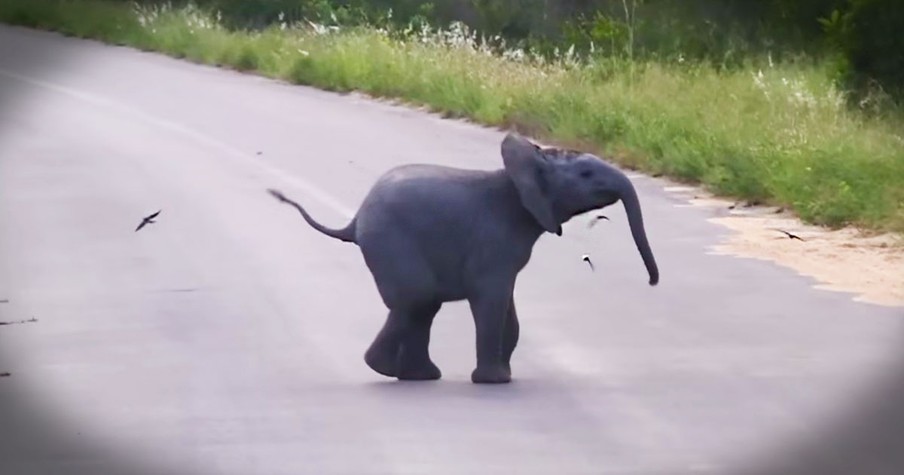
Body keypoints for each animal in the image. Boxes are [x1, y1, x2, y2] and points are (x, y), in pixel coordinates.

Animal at [268, 132, 656, 384]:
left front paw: (503, 375)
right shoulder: (493, 241)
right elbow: (492, 301)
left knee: (422, 307)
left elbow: (507, 305)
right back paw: (387, 370)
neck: (524, 167)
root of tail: (355, 220)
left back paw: (417, 376)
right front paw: (495, 381)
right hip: (391, 243)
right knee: (417, 300)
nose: (653, 281)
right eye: (586, 175)